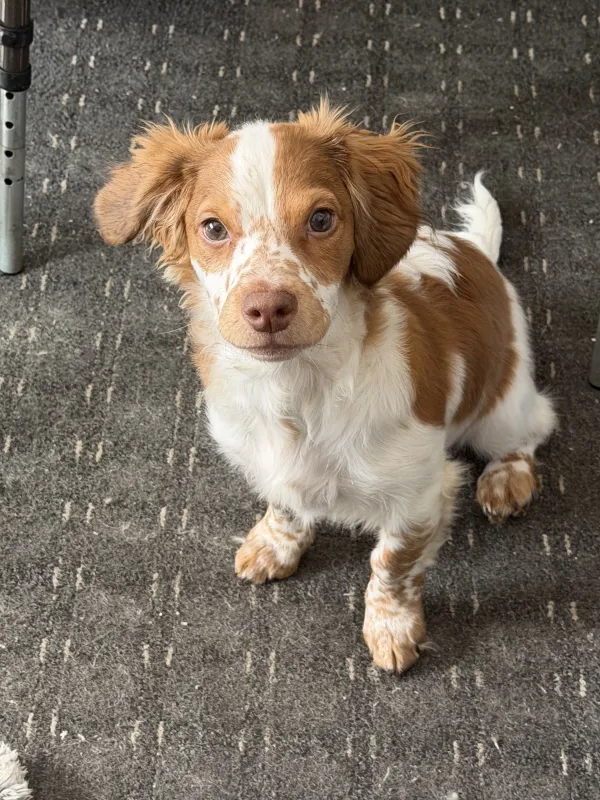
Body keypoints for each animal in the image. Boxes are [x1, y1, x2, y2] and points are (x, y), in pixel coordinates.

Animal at [94, 101, 556, 673]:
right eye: (213, 228)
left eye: (321, 220)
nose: (268, 307)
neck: (296, 392)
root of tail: (476, 253)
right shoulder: (267, 461)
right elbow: (286, 504)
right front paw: (275, 546)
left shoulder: (420, 495)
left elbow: (392, 565)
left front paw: (392, 628)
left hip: (500, 409)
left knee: (533, 428)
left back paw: (507, 480)